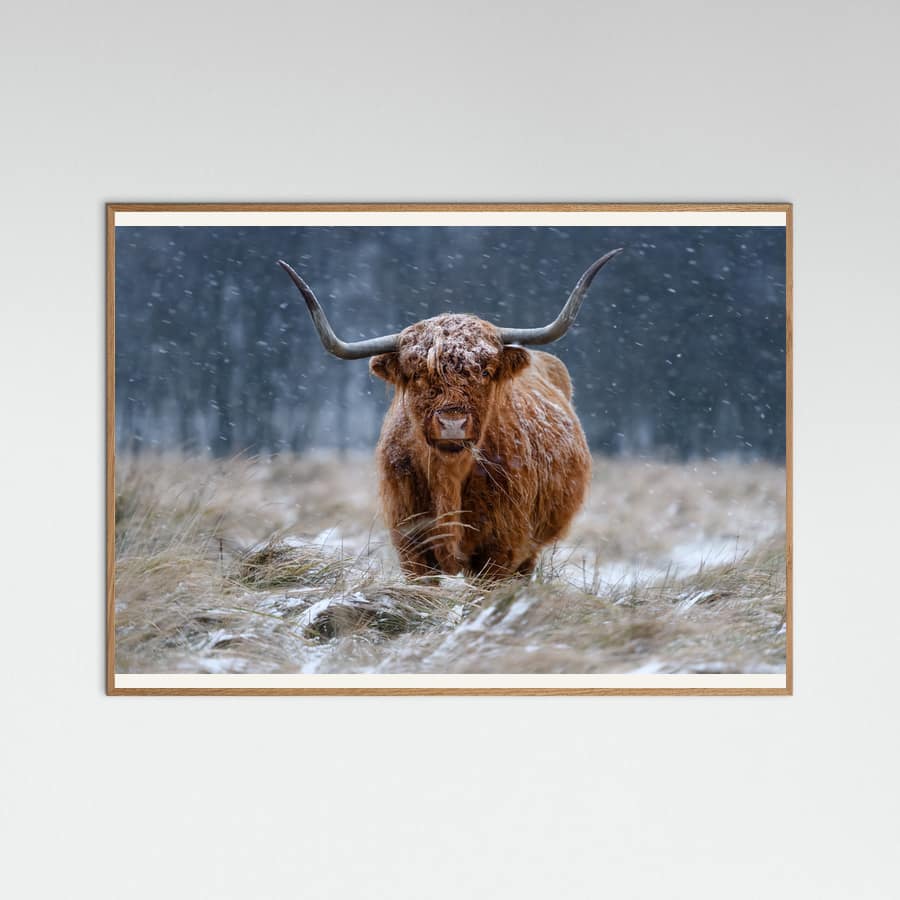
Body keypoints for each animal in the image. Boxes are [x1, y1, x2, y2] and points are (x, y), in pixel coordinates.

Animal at [277, 249, 622, 580]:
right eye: (418, 374)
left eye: (485, 372)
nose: (452, 423)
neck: (449, 477)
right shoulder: (411, 545)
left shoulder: (502, 547)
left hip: (530, 549)